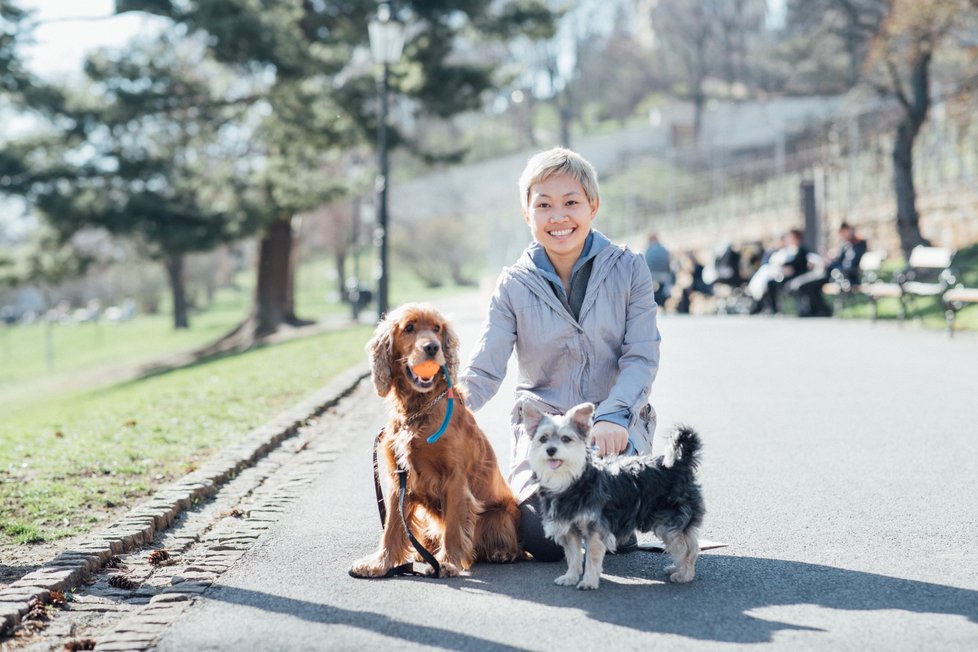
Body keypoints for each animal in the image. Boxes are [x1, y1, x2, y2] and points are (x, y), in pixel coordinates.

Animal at [528, 402, 700, 592]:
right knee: (687, 544)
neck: (572, 480)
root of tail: (680, 462)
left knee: (687, 548)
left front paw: (588, 581)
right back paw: (677, 568)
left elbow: (592, 558)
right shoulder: (570, 529)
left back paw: (684, 574)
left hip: (670, 522)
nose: (551, 450)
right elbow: (573, 556)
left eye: (566, 439)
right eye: (543, 439)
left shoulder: (596, 529)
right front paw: (570, 577)